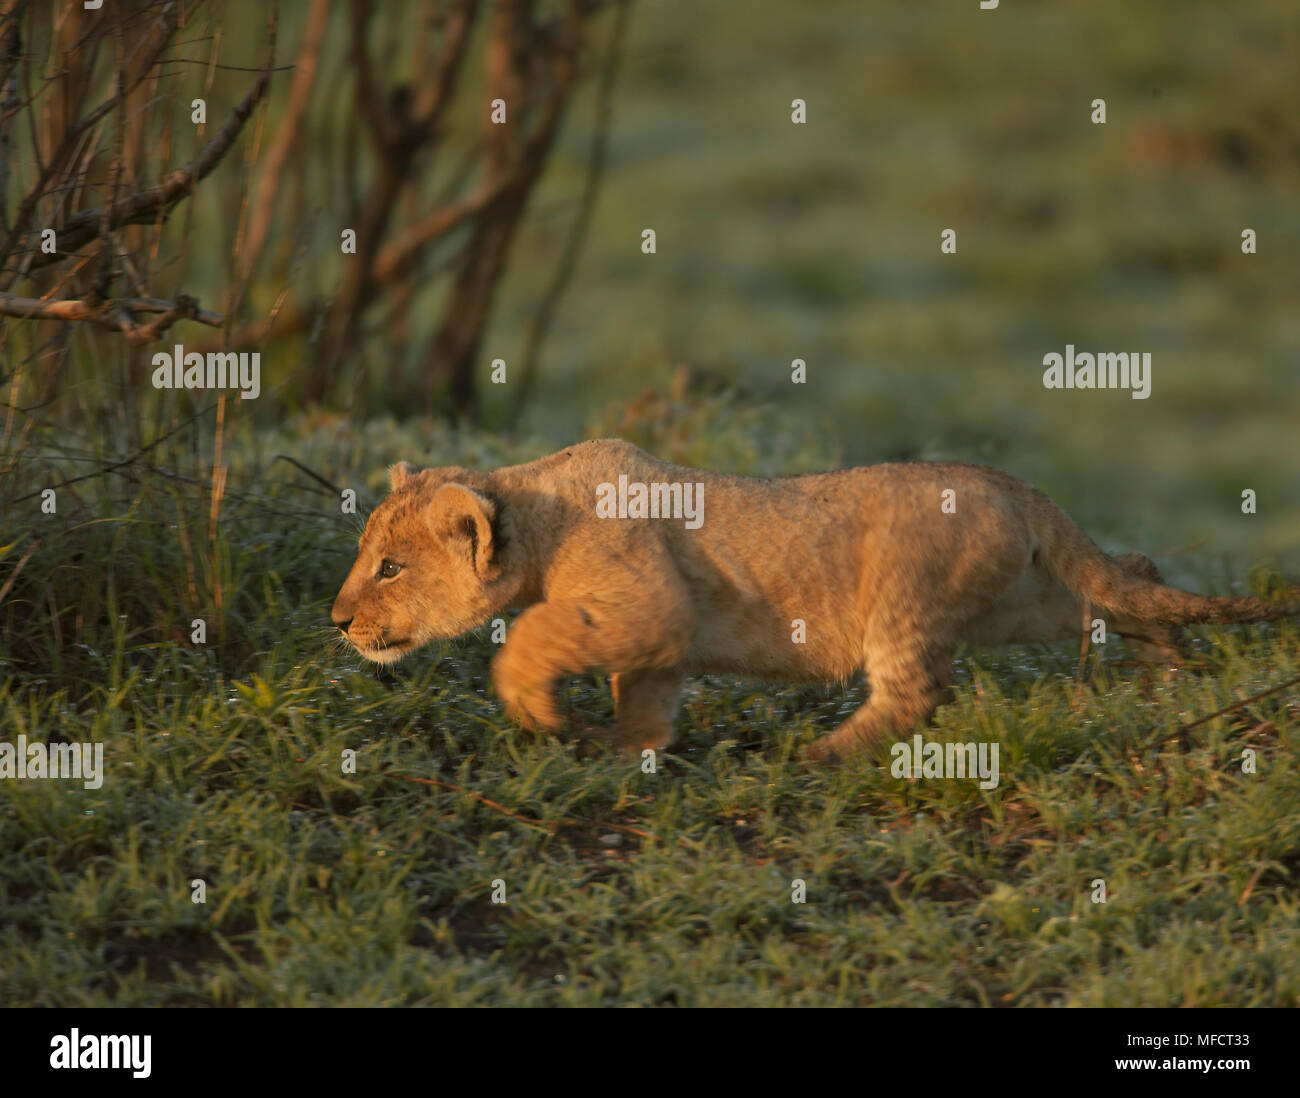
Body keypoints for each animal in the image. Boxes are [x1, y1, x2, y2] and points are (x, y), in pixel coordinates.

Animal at [330, 439, 1296, 761]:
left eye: (389, 568)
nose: (337, 620)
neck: (536, 509)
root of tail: (1014, 485)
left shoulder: (646, 603)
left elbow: (529, 636)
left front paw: (539, 716)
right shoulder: (663, 630)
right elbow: (644, 693)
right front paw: (628, 749)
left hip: (906, 596)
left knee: (914, 693)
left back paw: (820, 755)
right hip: (1028, 600)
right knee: (1126, 578)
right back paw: (1166, 669)